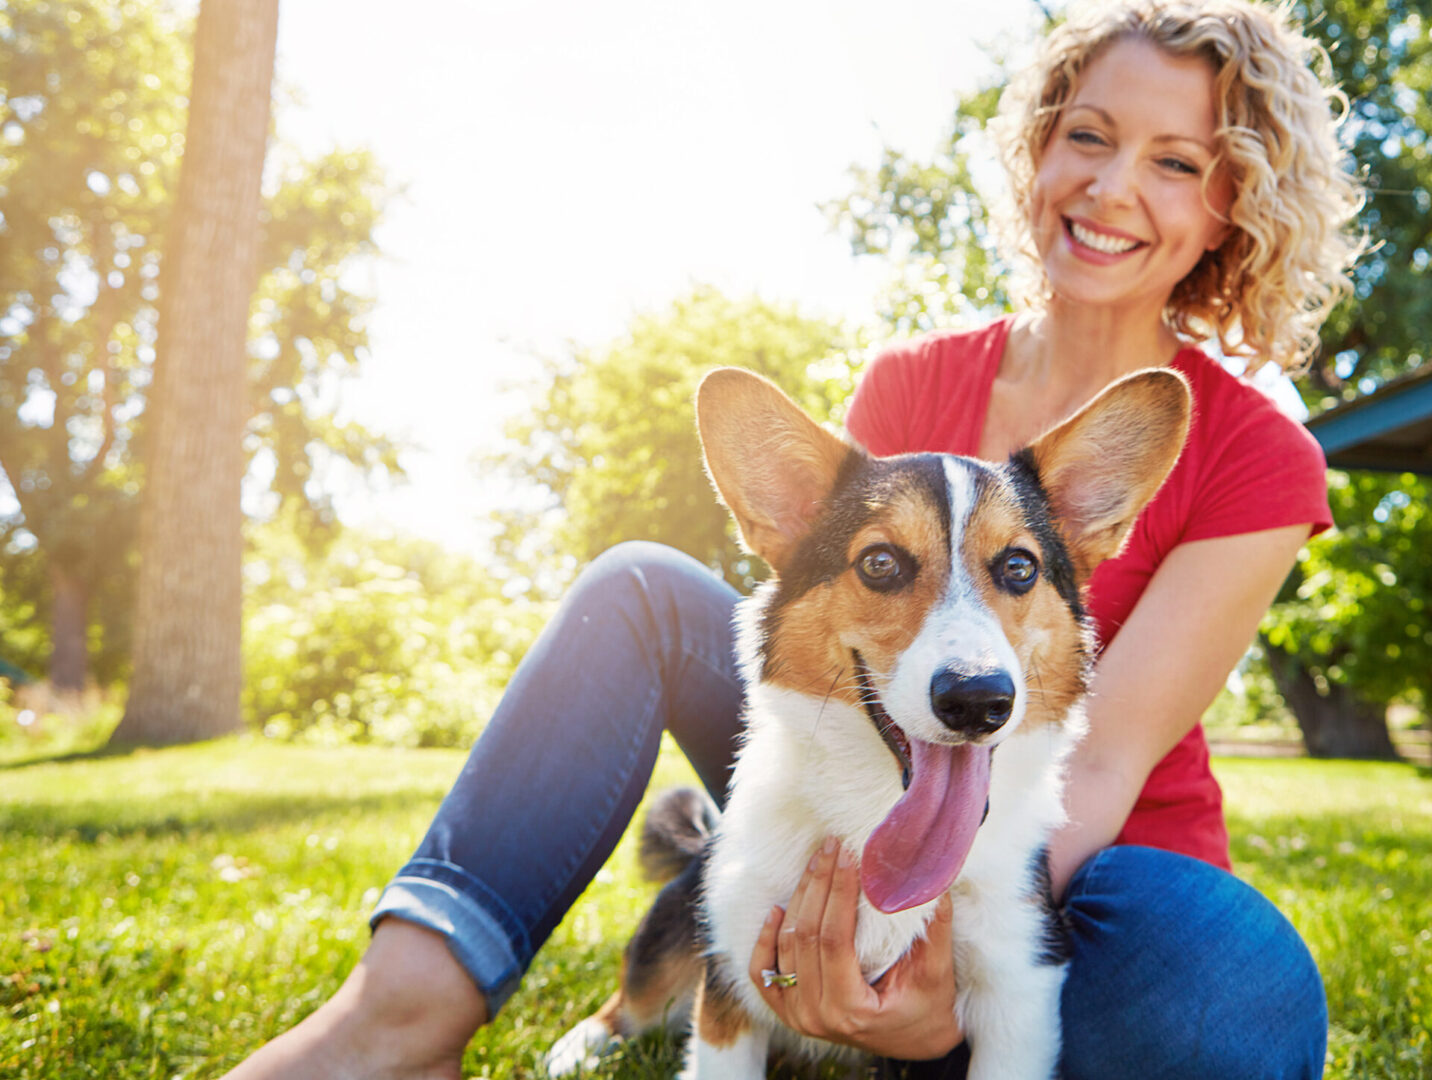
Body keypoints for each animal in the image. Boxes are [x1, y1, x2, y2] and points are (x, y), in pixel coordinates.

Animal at [547, 366, 1185, 1071]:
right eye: (880, 563)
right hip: (682, 934)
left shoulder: (1018, 996)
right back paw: (580, 1045)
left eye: (1020, 568)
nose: (977, 700)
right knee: (635, 996)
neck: (877, 815)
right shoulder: (731, 985)